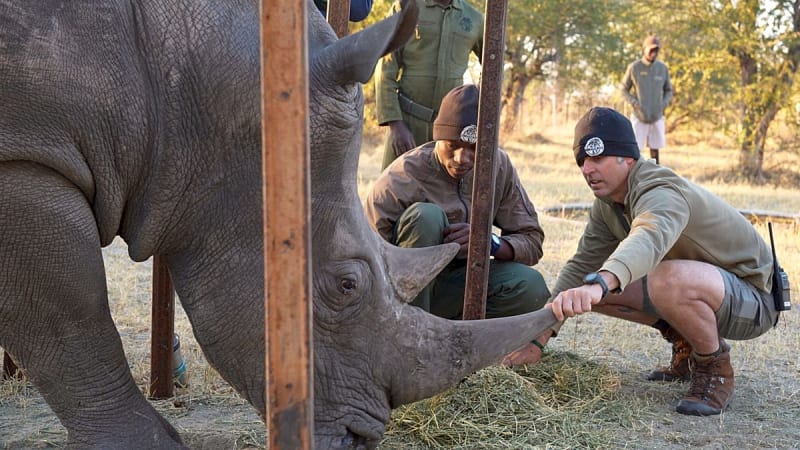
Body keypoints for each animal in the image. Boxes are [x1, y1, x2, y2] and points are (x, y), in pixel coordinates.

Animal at [0, 0, 557, 448]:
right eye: (346, 285)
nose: (360, 439)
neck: (180, 82)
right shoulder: (24, 157)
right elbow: (72, 318)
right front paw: (147, 445)